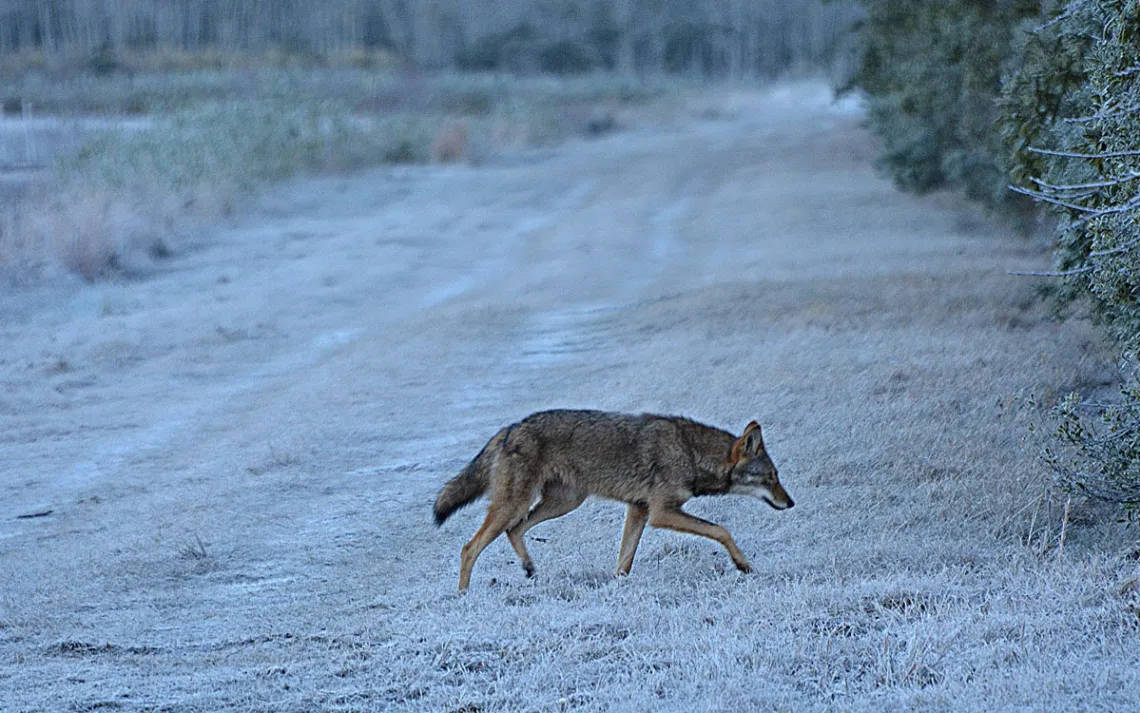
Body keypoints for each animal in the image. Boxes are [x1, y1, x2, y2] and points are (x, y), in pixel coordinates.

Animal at [433, 409, 794, 590]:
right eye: (771, 477)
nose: (791, 503)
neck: (691, 452)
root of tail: (510, 428)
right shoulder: (662, 512)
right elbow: (721, 530)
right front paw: (743, 565)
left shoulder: (639, 510)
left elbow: (624, 562)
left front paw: (616, 588)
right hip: (517, 505)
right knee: (469, 548)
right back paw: (463, 596)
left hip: (562, 503)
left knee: (515, 530)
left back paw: (529, 568)